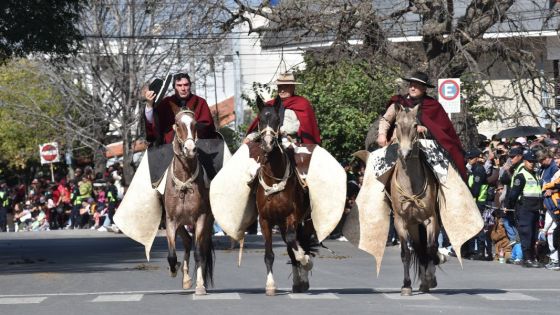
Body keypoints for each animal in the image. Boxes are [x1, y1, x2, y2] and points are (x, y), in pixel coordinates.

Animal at [164, 109, 214, 296]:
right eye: (177, 124)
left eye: (195, 124)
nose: (190, 149)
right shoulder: (171, 221)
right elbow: (172, 255)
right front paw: (174, 269)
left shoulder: (201, 218)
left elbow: (199, 253)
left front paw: (200, 287)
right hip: (180, 223)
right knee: (186, 241)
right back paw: (185, 278)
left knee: (201, 248)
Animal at [253, 96, 318, 296]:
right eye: (260, 119)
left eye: (276, 120)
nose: (267, 143)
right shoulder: (265, 220)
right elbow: (269, 255)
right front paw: (270, 285)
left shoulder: (292, 216)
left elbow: (294, 243)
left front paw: (306, 261)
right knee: (291, 247)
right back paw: (298, 282)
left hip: (305, 221)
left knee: (300, 242)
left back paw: (303, 277)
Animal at [388, 103, 444, 296]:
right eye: (396, 125)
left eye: (415, 125)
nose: (405, 152)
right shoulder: (400, 221)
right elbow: (406, 252)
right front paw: (406, 285)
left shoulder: (431, 219)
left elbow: (431, 248)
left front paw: (430, 278)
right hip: (413, 226)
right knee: (418, 249)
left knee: (427, 250)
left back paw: (428, 279)